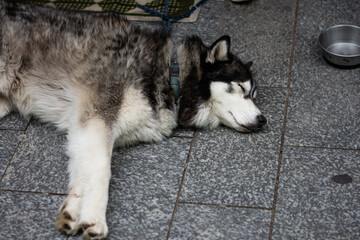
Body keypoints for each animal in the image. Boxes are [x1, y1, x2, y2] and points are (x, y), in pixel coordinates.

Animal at [0, 0, 268, 239]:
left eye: (253, 95)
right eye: (241, 89)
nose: (263, 119)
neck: (172, 76)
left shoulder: (85, 129)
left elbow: (82, 173)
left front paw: (74, 211)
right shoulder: (98, 118)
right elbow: (101, 171)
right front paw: (94, 219)